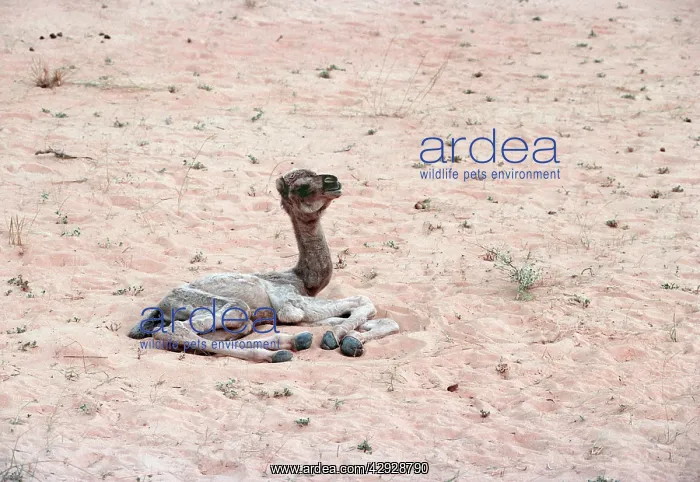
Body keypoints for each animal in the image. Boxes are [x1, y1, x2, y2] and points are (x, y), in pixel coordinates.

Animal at [127, 168, 399, 362]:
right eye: (302, 186)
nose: (334, 182)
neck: (302, 280)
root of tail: (160, 306)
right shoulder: (292, 305)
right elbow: (363, 300)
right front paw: (338, 338)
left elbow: (386, 321)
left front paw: (352, 339)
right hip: (215, 304)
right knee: (176, 330)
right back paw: (280, 352)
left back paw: (293, 343)